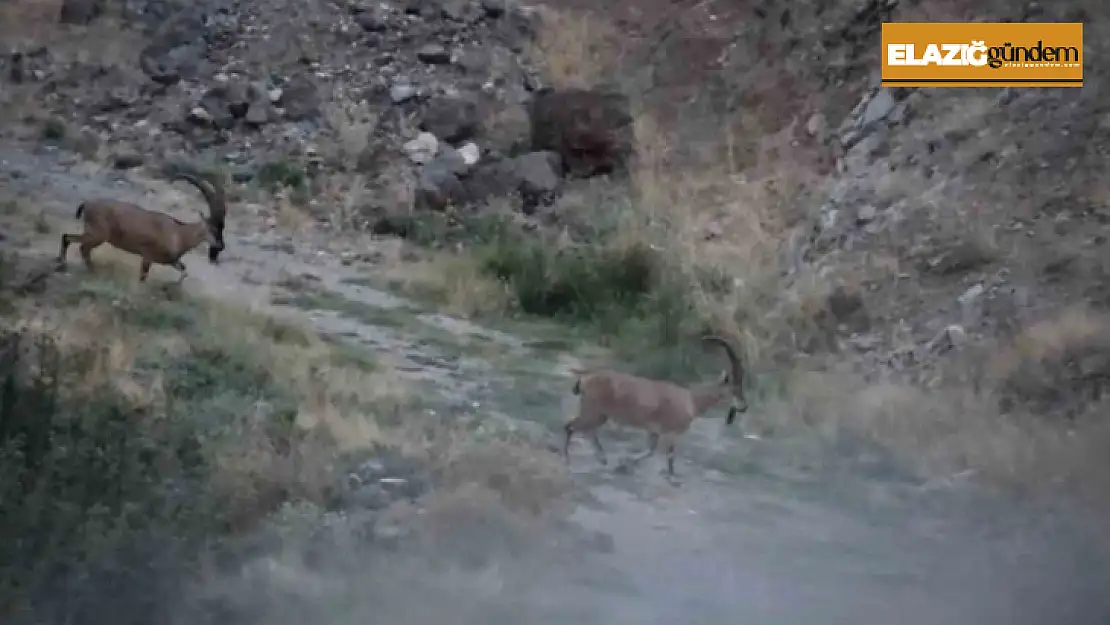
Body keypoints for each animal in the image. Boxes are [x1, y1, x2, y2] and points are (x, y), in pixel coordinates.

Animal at [59, 169, 228, 279]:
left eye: (222, 227)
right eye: (213, 228)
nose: (221, 246)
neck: (178, 234)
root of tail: (86, 204)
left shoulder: (172, 261)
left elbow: (184, 271)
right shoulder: (147, 256)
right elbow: (143, 276)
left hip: (92, 233)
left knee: (68, 238)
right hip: (97, 235)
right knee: (80, 245)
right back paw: (87, 269)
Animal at [563, 335, 745, 477]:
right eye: (735, 388)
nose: (744, 407)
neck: (692, 400)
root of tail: (585, 379)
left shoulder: (654, 430)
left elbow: (650, 450)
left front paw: (624, 463)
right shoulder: (671, 432)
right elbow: (669, 456)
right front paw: (671, 477)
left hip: (599, 413)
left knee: (587, 430)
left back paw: (602, 458)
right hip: (593, 410)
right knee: (571, 427)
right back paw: (568, 460)